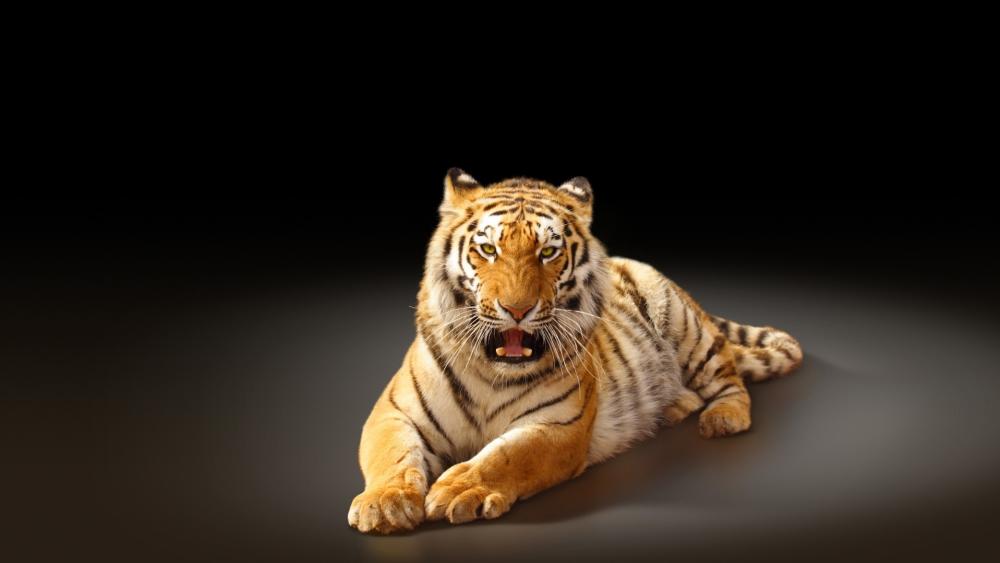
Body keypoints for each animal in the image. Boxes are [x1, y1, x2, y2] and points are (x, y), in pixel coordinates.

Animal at [347, 169, 803, 534]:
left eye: (548, 252)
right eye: (488, 249)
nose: (517, 310)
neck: (493, 372)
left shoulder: (558, 426)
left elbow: (506, 456)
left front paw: (458, 489)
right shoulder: (393, 411)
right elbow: (391, 454)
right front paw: (385, 504)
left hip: (685, 327)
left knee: (730, 377)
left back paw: (722, 418)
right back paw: (673, 407)